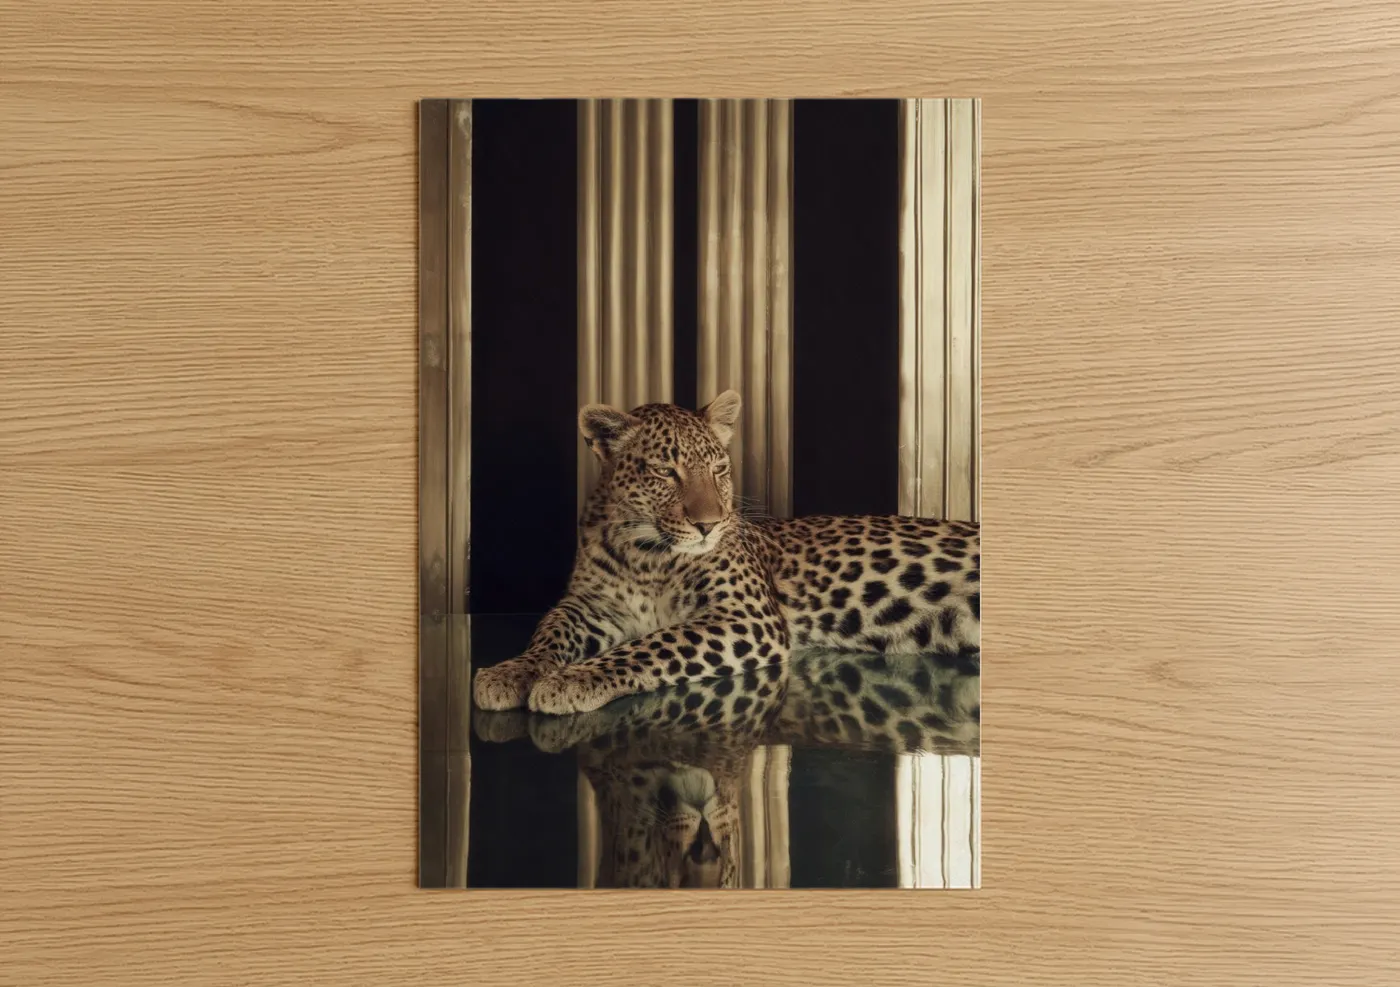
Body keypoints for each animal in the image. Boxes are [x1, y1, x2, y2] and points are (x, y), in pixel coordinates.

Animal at [471, 389, 980, 718]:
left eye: (718, 469)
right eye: (665, 472)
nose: (709, 524)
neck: (647, 554)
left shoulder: (747, 616)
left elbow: (654, 644)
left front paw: (571, 680)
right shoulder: (589, 606)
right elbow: (548, 632)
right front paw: (512, 672)